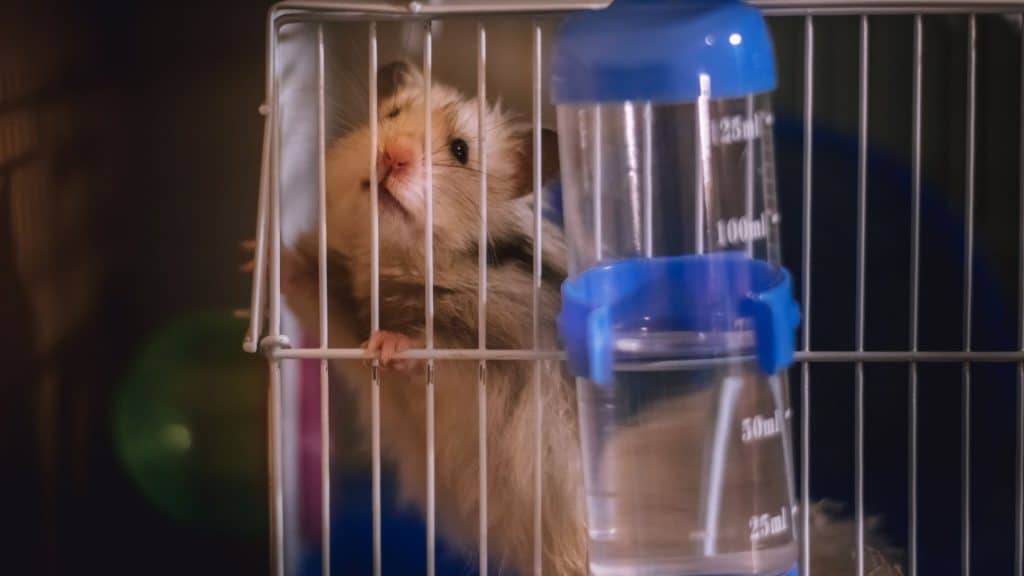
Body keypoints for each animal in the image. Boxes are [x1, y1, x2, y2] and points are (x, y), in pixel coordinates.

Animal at [271, 60, 903, 576]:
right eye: (392, 114)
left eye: (460, 150)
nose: (391, 156)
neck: (405, 265)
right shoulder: (359, 339)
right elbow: (332, 314)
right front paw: (275, 255)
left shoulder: (491, 353)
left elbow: (437, 348)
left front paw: (391, 344)